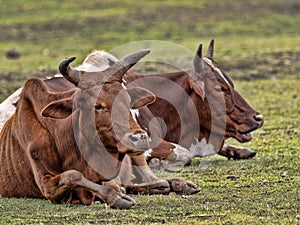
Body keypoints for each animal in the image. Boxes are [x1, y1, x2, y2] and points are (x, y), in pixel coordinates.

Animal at [0, 49, 202, 209]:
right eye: (98, 106)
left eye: (128, 100)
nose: (140, 138)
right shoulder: (46, 184)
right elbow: (74, 175)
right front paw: (117, 197)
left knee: (154, 179)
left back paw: (178, 184)